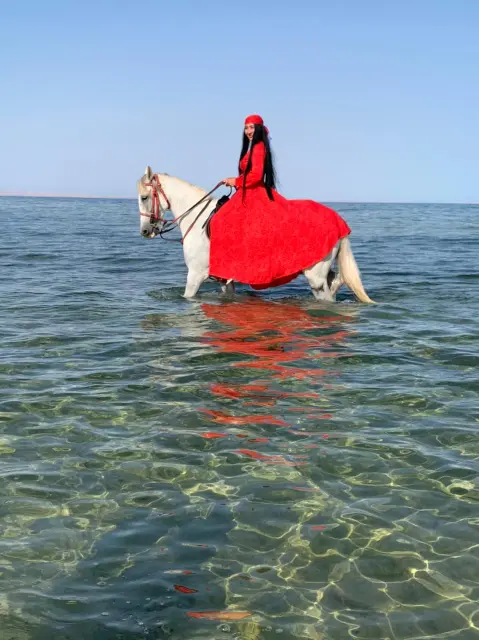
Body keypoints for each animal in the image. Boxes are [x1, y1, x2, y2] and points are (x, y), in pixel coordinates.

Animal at [137, 166, 374, 303]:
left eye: (144, 197)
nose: (145, 231)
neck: (196, 217)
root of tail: (338, 221)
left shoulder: (195, 275)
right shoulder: (224, 279)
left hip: (315, 275)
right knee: (338, 281)